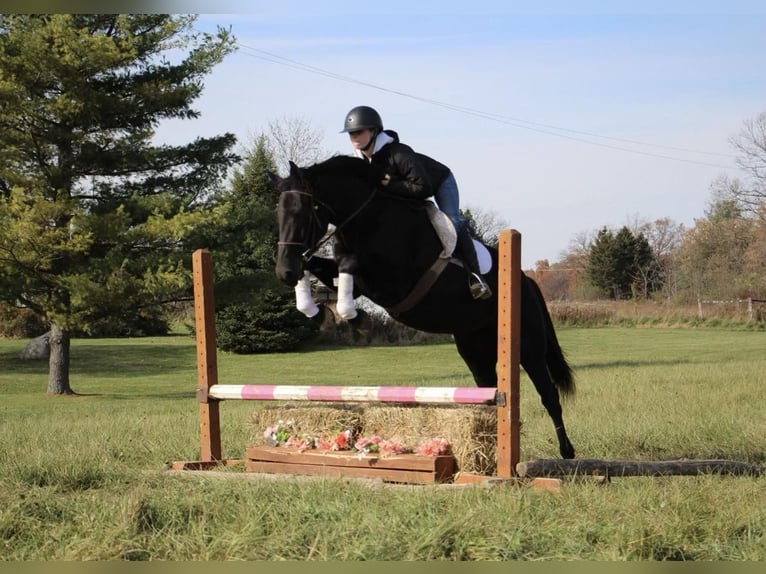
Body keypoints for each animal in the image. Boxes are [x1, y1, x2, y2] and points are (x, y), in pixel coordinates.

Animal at [270, 155, 576, 462]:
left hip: (528, 347)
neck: (369, 219)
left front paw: (358, 320)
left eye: (302, 211)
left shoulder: (392, 283)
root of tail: (527, 280)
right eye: (278, 214)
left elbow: (347, 266)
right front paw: (320, 313)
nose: (284, 272)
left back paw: (567, 452)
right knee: (489, 388)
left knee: (549, 395)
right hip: (474, 347)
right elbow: (316, 266)